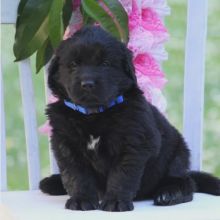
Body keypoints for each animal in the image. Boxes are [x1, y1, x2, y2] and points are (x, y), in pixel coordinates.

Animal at [39, 25, 220, 211]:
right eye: (74, 64)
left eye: (105, 64)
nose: (87, 84)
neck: (94, 114)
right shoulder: (67, 145)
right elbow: (76, 175)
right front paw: (81, 199)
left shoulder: (132, 143)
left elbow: (122, 175)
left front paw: (115, 201)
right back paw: (52, 182)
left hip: (177, 155)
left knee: (186, 182)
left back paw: (169, 194)